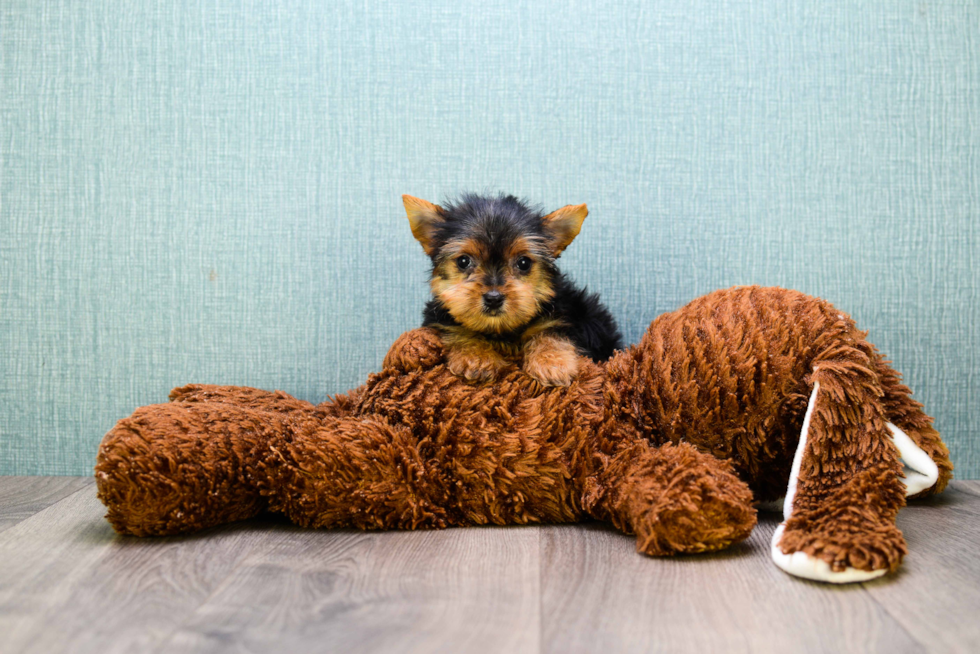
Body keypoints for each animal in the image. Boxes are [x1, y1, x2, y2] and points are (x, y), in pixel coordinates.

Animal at [404, 192, 620, 386]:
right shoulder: (442, 320)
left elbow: (549, 333)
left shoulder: (562, 316)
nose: (493, 298)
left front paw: (552, 363)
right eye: (463, 261)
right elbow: (459, 331)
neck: (500, 330)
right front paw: (477, 358)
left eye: (523, 263)